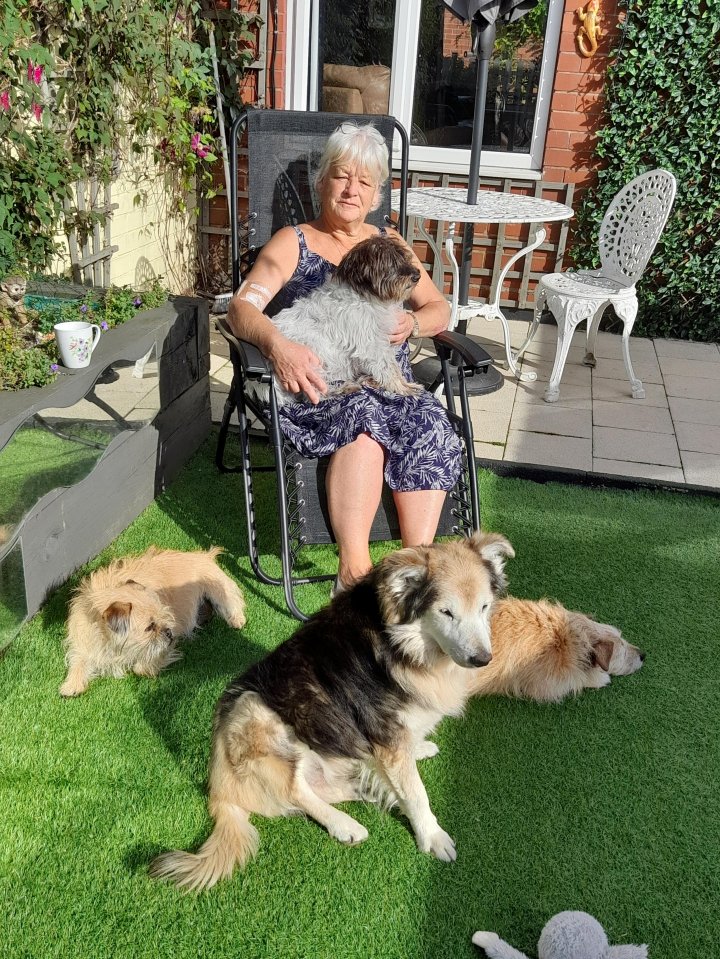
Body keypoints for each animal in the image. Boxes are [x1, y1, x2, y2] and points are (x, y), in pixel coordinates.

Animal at [59, 548, 245, 696]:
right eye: (149, 627)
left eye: (165, 617)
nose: (169, 632)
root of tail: (205, 555)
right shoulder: (85, 642)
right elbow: (79, 660)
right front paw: (71, 685)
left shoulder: (164, 645)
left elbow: (140, 668)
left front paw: (150, 668)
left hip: (218, 589)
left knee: (232, 601)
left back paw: (237, 619)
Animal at [149, 528, 516, 888]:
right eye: (446, 612)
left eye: (484, 607)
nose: (482, 659)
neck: (400, 645)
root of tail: (219, 788)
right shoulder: (385, 732)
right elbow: (416, 794)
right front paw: (433, 837)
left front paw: (417, 750)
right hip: (254, 710)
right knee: (295, 791)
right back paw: (345, 825)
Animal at [272, 238, 428, 406]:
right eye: (391, 263)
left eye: (405, 257)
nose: (417, 275)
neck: (366, 296)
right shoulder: (372, 346)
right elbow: (389, 369)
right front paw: (404, 388)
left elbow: (392, 367)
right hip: (308, 364)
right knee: (313, 395)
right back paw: (343, 389)